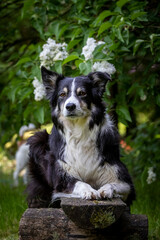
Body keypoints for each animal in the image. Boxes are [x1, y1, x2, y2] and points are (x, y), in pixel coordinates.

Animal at [26, 66, 136, 208]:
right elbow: (80, 183)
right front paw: (89, 191)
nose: (70, 106)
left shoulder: (124, 180)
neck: (78, 132)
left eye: (82, 93)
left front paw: (105, 190)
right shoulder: (62, 178)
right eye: (62, 95)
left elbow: (114, 184)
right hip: (38, 138)